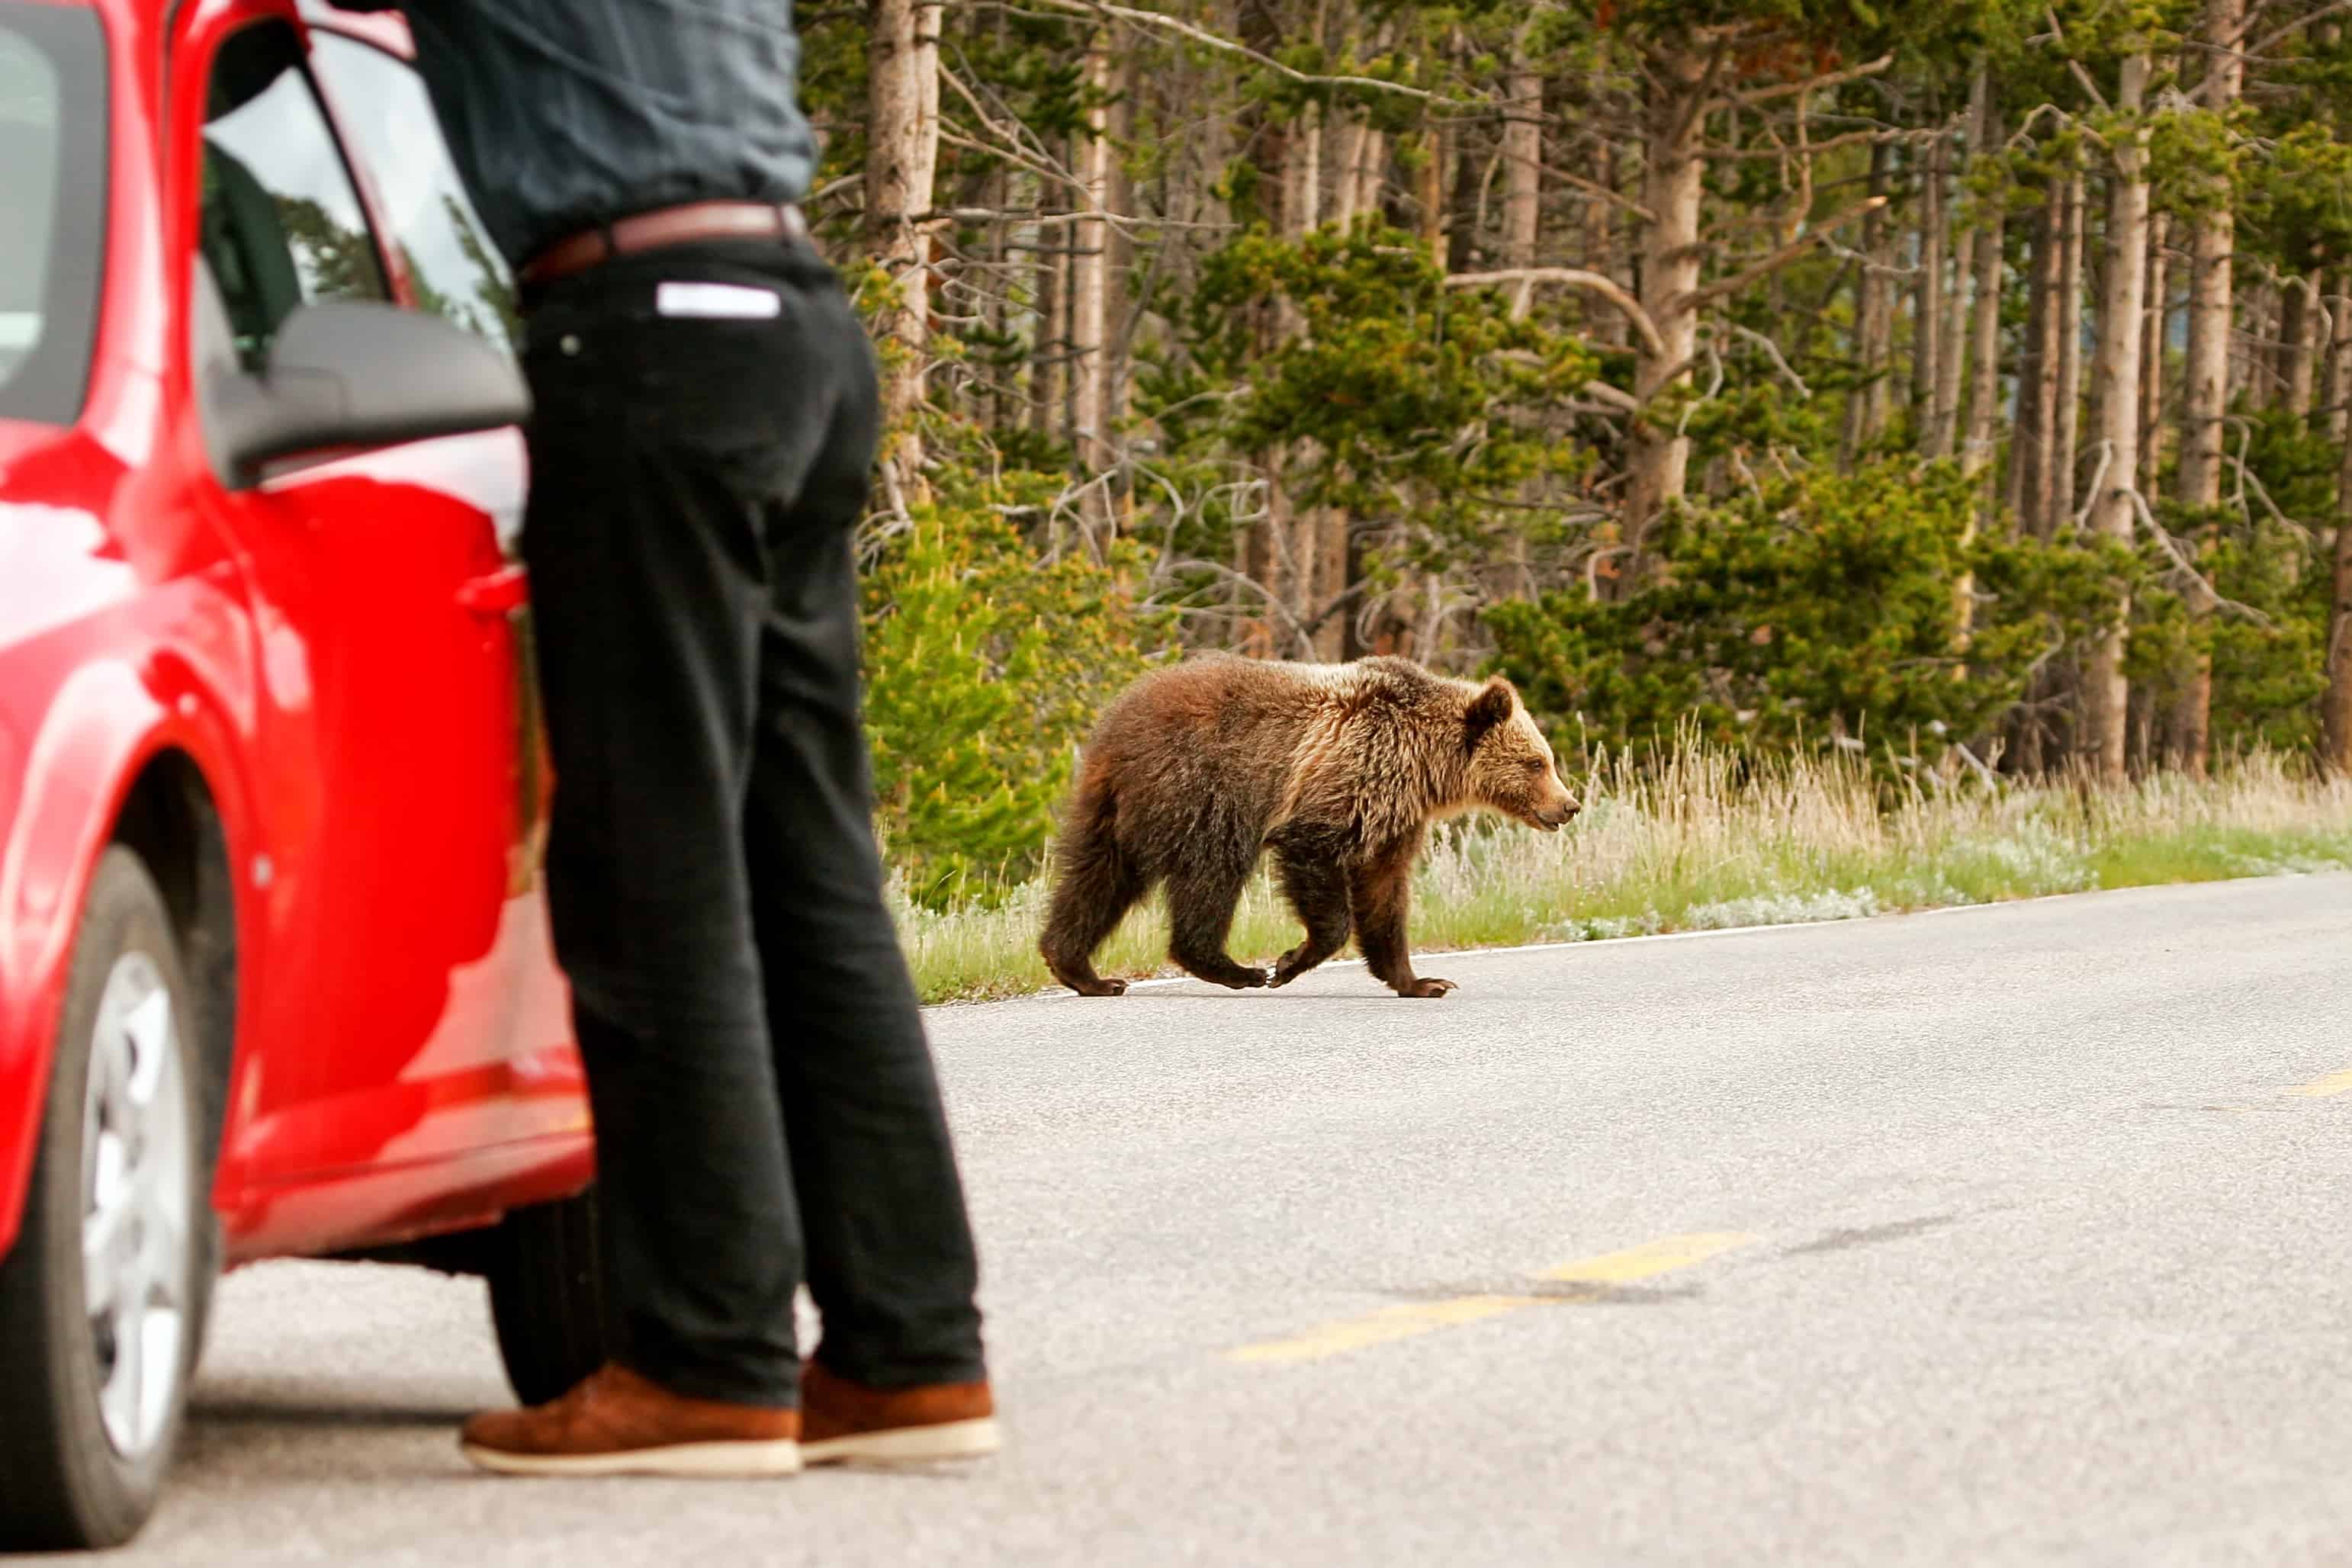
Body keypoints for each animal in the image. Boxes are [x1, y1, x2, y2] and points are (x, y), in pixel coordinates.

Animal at [1038, 653, 1579, 999]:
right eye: (1537, 762)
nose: (1569, 805)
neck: (1424, 763)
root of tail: (1118, 721)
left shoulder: (1396, 819)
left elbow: (1385, 894)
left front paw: (1423, 982)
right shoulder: (1348, 780)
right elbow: (1315, 860)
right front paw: (1289, 961)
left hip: (1112, 808)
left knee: (1097, 879)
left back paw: (1084, 971)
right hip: (1203, 793)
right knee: (1211, 875)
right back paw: (1237, 970)